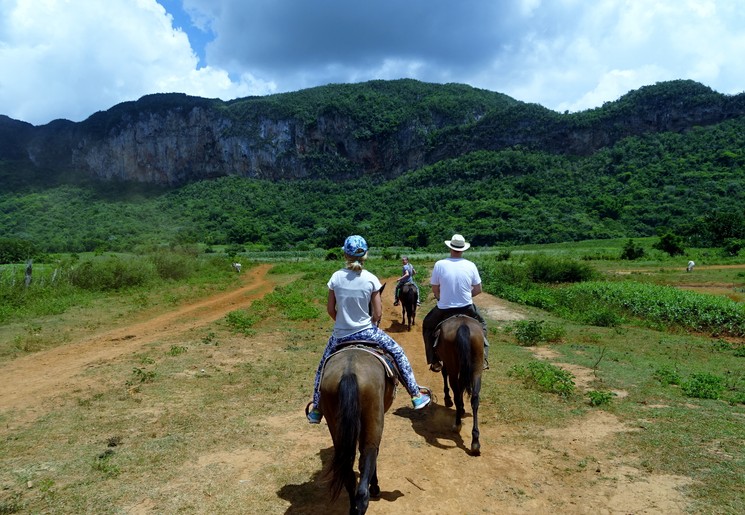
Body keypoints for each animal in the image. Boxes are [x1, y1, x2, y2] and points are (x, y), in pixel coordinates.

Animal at [434, 314, 486, 456]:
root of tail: (463, 325)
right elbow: (462, 386)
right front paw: (462, 408)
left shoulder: (447, 364)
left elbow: (445, 376)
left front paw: (448, 399)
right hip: (476, 369)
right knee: (475, 399)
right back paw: (475, 442)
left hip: (453, 366)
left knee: (456, 394)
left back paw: (457, 425)